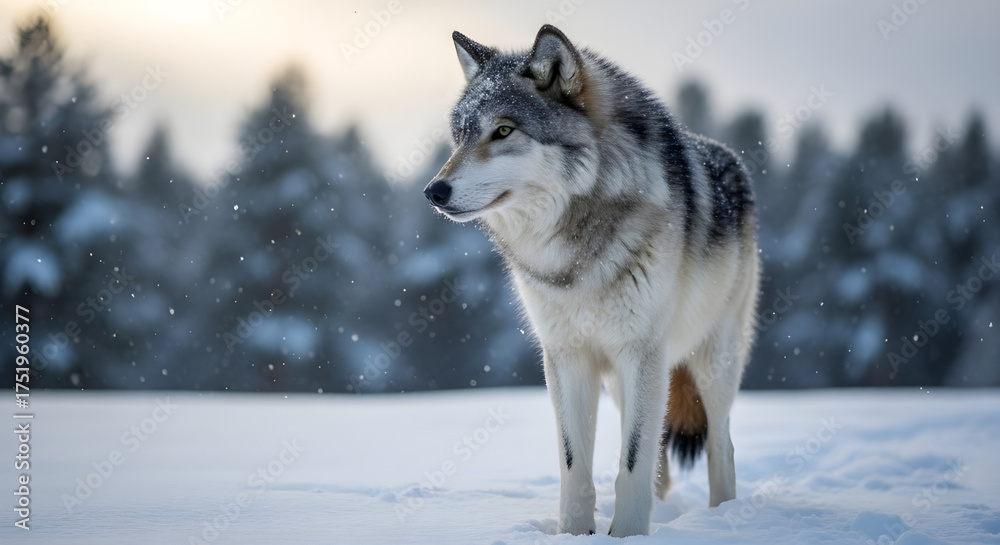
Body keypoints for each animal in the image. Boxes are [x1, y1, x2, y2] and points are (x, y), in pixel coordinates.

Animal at [423, 25, 759, 537]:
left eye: (503, 131)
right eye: (459, 136)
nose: (433, 191)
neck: (574, 253)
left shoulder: (640, 352)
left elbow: (633, 460)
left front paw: (627, 536)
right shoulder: (566, 356)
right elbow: (574, 460)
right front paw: (575, 533)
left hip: (712, 360)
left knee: (722, 446)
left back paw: (723, 517)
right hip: (631, 381)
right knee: (662, 458)